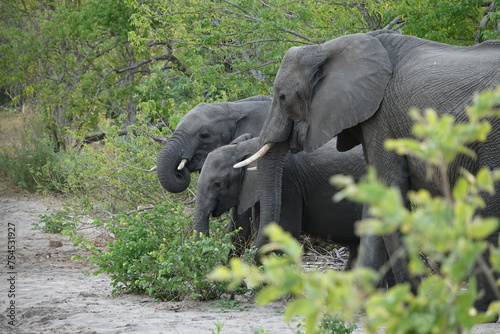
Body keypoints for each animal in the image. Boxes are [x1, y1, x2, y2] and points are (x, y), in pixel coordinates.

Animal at [235, 30, 500, 312]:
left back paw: (480, 308)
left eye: (283, 97)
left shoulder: (381, 118)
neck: (327, 48)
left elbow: (387, 190)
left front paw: (403, 303)